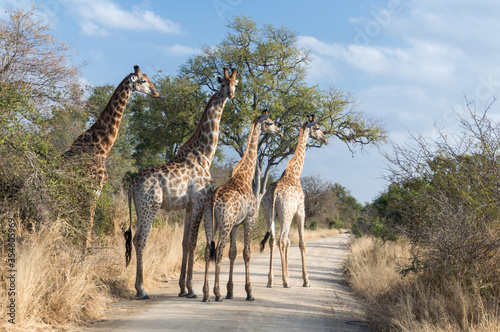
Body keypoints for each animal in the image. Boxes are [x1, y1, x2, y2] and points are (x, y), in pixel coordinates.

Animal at [62, 65, 159, 246]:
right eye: (143, 80)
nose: (156, 93)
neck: (101, 147)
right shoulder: (93, 188)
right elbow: (88, 222)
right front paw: (85, 250)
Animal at [124, 68, 238, 300]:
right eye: (223, 84)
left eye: (236, 83)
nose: (231, 94)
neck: (204, 155)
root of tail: (132, 184)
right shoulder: (200, 202)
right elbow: (193, 242)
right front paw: (192, 289)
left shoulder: (188, 207)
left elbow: (185, 242)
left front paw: (183, 289)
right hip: (151, 207)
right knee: (140, 239)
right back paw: (141, 290)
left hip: (140, 208)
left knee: (137, 239)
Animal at [201, 110, 284, 302]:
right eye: (270, 122)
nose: (280, 132)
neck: (245, 176)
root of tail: (214, 199)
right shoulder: (249, 220)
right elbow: (246, 253)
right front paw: (249, 292)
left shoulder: (235, 225)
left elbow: (233, 252)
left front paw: (230, 291)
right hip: (224, 224)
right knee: (218, 251)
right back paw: (216, 293)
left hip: (210, 222)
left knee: (208, 249)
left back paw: (206, 293)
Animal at [260, 114, 326, 288]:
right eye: (317, 127)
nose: (324, 138)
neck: (295, 173)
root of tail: (275, 193)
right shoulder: (300, 211)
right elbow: (301, 243)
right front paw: (305, 280)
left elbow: (290, 242)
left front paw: (287, 275)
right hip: (287, 214)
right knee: (281, 240)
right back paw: (286, 281)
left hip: (269, 213)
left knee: (273, 240)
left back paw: (271, 280)